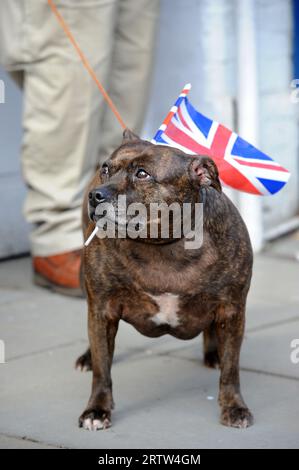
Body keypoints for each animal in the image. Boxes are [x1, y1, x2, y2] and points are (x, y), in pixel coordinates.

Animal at [76, 127, 254, 430]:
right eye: (105, 169)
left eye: (142, 174)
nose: (96, 194)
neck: (162, 246)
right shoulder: (102, 309)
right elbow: (102, 370)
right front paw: (96, 410)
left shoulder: (232, 310)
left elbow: (231, 369)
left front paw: (234, 407)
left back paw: (214, 353)